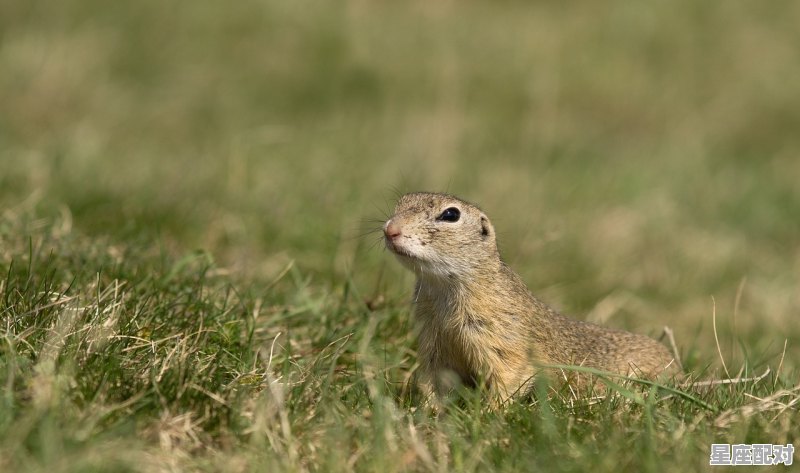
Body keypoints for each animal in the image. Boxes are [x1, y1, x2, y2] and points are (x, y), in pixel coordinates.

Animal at [384, 192, 680, 402]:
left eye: (450, 214)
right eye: (400, 202)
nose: (390, 230)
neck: (443, 289)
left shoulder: (502, 337)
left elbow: (510, 376)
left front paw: (488, 415)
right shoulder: (433, 339)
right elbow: (434, 381)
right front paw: (425, 412)